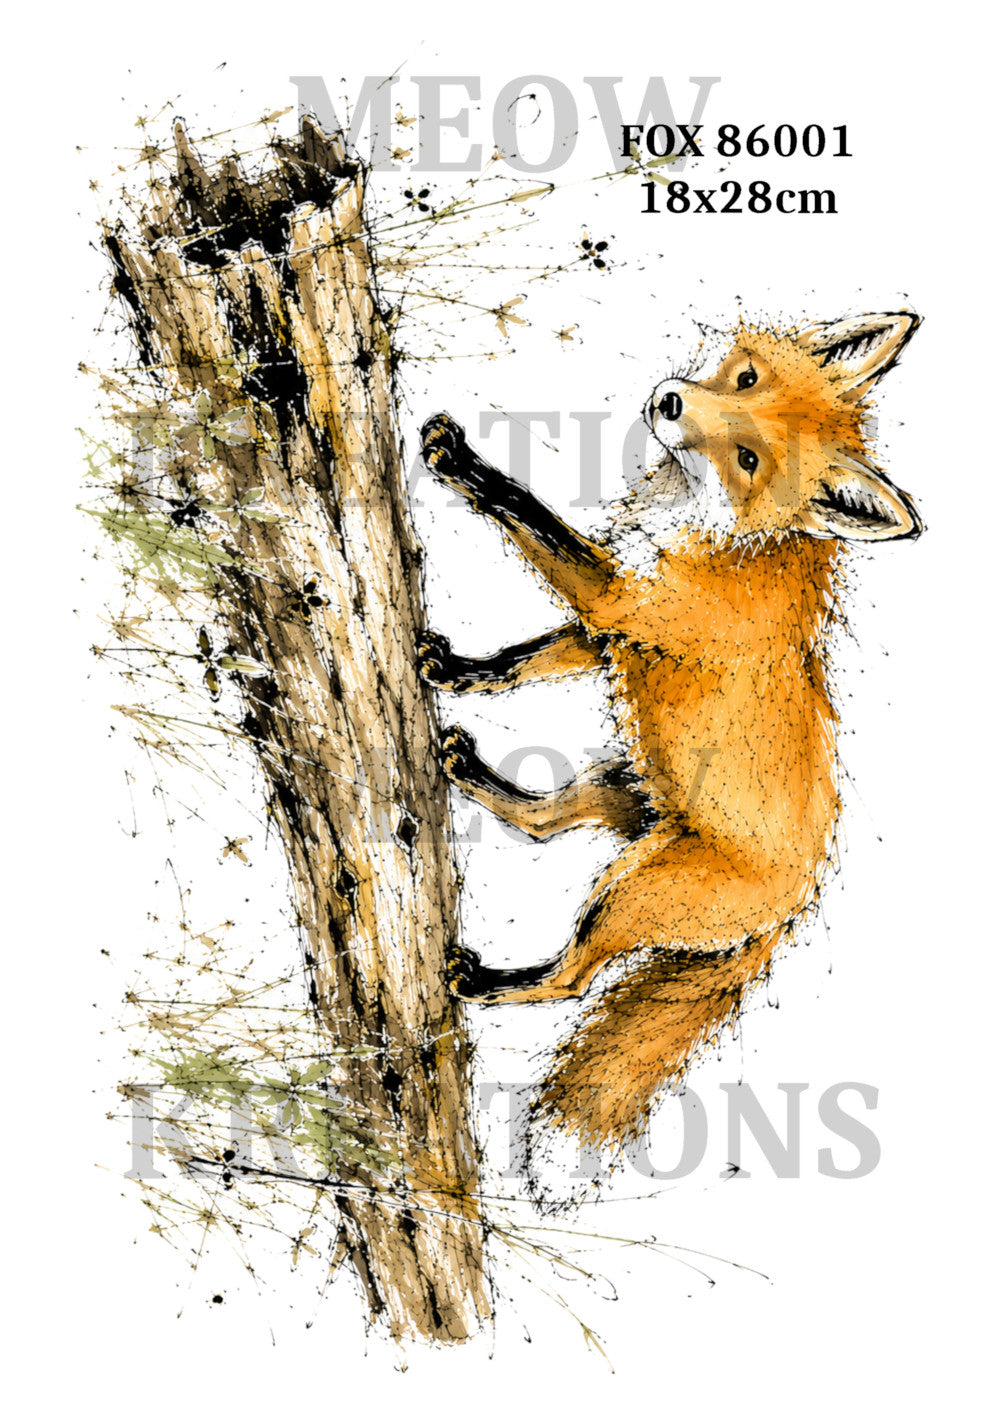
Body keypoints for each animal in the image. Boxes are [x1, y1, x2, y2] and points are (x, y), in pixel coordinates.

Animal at [417, 310, 922, 1158]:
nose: (670, 403)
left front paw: (467, 467)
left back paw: (489, 981)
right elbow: (523, 662)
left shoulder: (618, 601)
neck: (715, 534)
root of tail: (798, 899)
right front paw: (460, 672)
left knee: (571, 978)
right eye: (746, 379)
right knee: (546, 823)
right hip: (623, 786)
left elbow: (530, 515)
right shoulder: (615, 627)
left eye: (749, 461)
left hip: (629, 891)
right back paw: (475, 776)